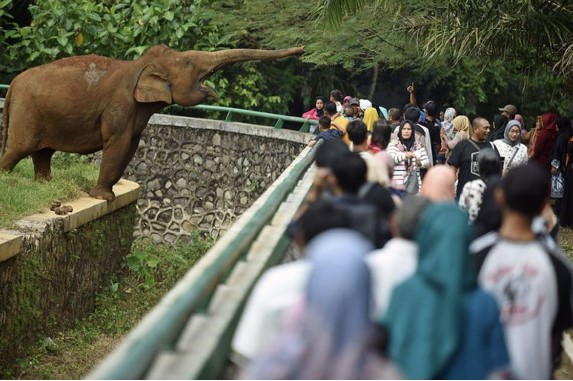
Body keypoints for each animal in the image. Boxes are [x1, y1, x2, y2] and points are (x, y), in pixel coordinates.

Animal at [0, 44, 304, 200]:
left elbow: (131, 146)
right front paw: (103, 198)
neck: (139, 65)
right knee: (18, 149)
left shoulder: (137, 114)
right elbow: (117, 143)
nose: (301, 50)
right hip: (26, 112)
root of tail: (12, 84)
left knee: (43, 152)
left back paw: (45, 185)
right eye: (189, 63)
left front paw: (109, 193)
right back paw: (6, 179)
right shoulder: (120, 105)